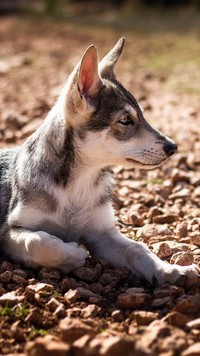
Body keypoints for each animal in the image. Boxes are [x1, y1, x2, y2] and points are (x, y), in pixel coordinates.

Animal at [0, 37, 198, 286]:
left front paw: (171, 270)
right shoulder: (10, 231)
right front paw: (73, 254)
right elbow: (38, 241)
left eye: (143, 117)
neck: (77, 185)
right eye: (126, 120)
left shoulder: (102, 233)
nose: (173, 147)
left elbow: (138, 249)